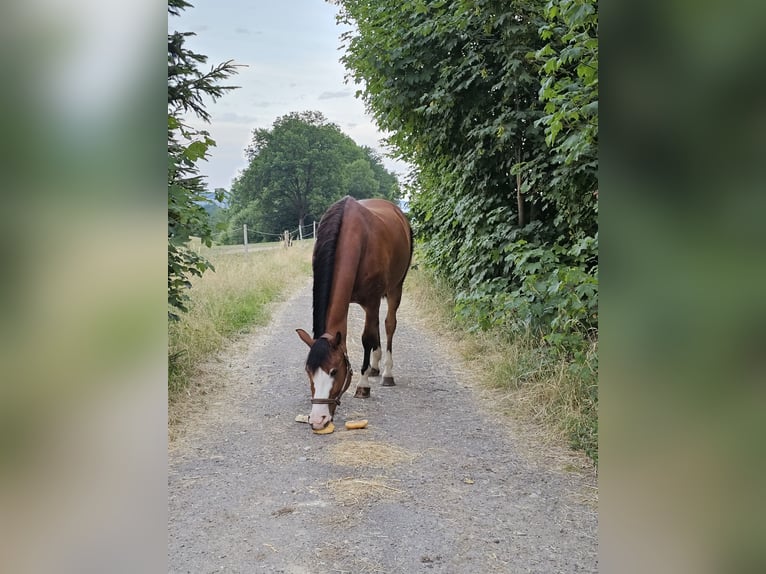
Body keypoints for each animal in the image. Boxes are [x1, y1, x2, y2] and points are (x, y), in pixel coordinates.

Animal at [296, 196, 414, 430]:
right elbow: (370, 335)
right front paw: (368, 371)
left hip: (395, 288)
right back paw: (375, 367)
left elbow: (367, 338)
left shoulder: (372, 300)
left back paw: (386, 373)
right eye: (308, 371)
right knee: (376, 327)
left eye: (334, 371)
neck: (355, 238)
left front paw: (363, 384)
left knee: (388, 325)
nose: (318, 419)